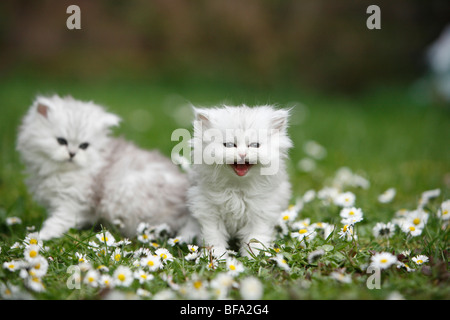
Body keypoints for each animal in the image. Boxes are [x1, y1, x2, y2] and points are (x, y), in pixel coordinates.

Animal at [17, 95, 197, 240]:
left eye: (84, 146)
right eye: (61, 141)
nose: (72, 153)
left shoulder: (72, 202)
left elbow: (57, 222)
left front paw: (39, 237)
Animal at [186, 105, 292, 258]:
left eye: (254, 145)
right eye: (230, 145)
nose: (242, 154)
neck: (237, 188)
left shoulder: (261, 214)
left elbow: (255, 239)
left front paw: (254, 257)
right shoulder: (209, 213)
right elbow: (214, 238)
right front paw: (217, 257)